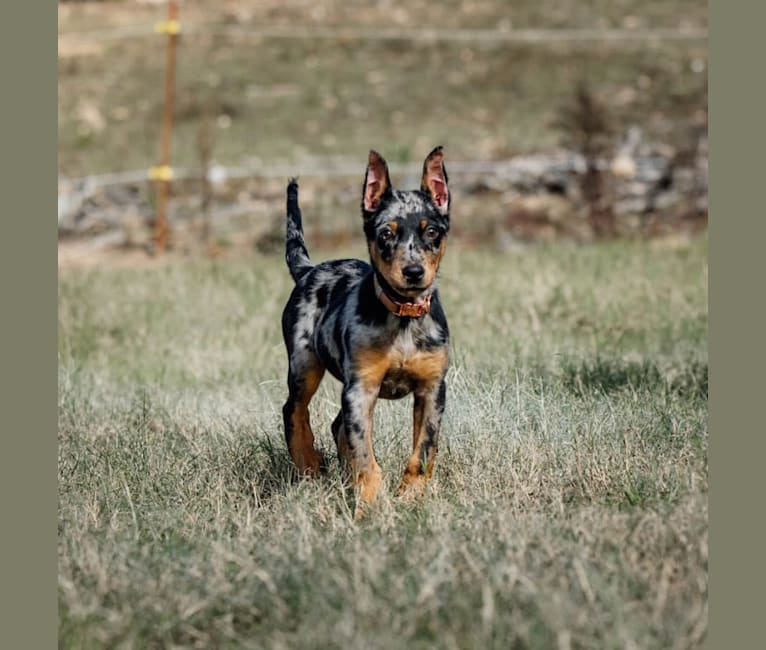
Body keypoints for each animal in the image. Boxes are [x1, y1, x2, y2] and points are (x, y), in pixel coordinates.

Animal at [280, 147, 450, 516]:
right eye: (386, 234)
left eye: (432, 232)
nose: (413, 272)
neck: (403, 316)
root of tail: (309, 269)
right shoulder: (361, 390)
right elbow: (365, 457)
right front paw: (371, 506)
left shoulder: (432, 390)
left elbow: (423, 451)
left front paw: (410, 497)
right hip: (304, 365)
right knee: (295, 411)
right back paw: (308, 466)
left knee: (336, 425)